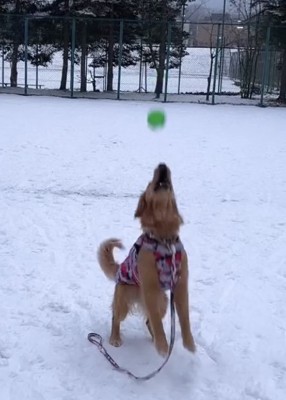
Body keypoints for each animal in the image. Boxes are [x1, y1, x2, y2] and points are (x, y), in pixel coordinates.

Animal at [97, 162, 196, 356]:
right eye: (150, 182)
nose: (162, 165)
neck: (164, 240)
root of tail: (119, 270)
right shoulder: (150, 286)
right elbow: (156, 321)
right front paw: (163, 346)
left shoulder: (180, 284)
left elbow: (184, 316)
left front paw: (189, 343)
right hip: (124, 301)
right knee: (116, 317)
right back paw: (116, 338)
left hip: (163, 302)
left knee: (149, 320)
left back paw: (154, 339)